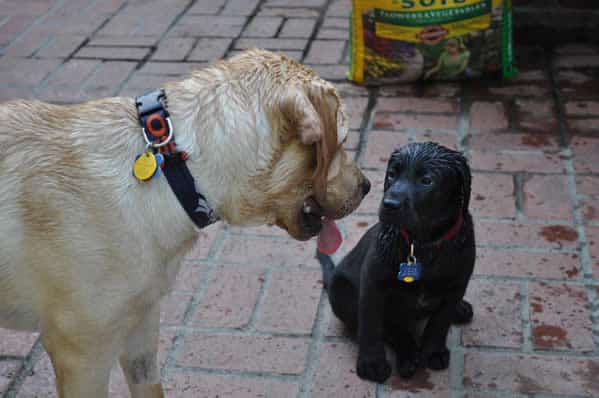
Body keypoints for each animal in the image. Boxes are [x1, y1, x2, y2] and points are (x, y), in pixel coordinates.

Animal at [316, 143, 476, 382]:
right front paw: (371, 363)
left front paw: (433, 351)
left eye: (427, 180)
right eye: (392, 174)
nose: (389, 204)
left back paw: (459, 310)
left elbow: (440, 321)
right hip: (341, 291)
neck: (421, 244)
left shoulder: (458, 283)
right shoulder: (372, 284)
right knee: (390, 328)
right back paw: (408, 355)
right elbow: (371, 325)